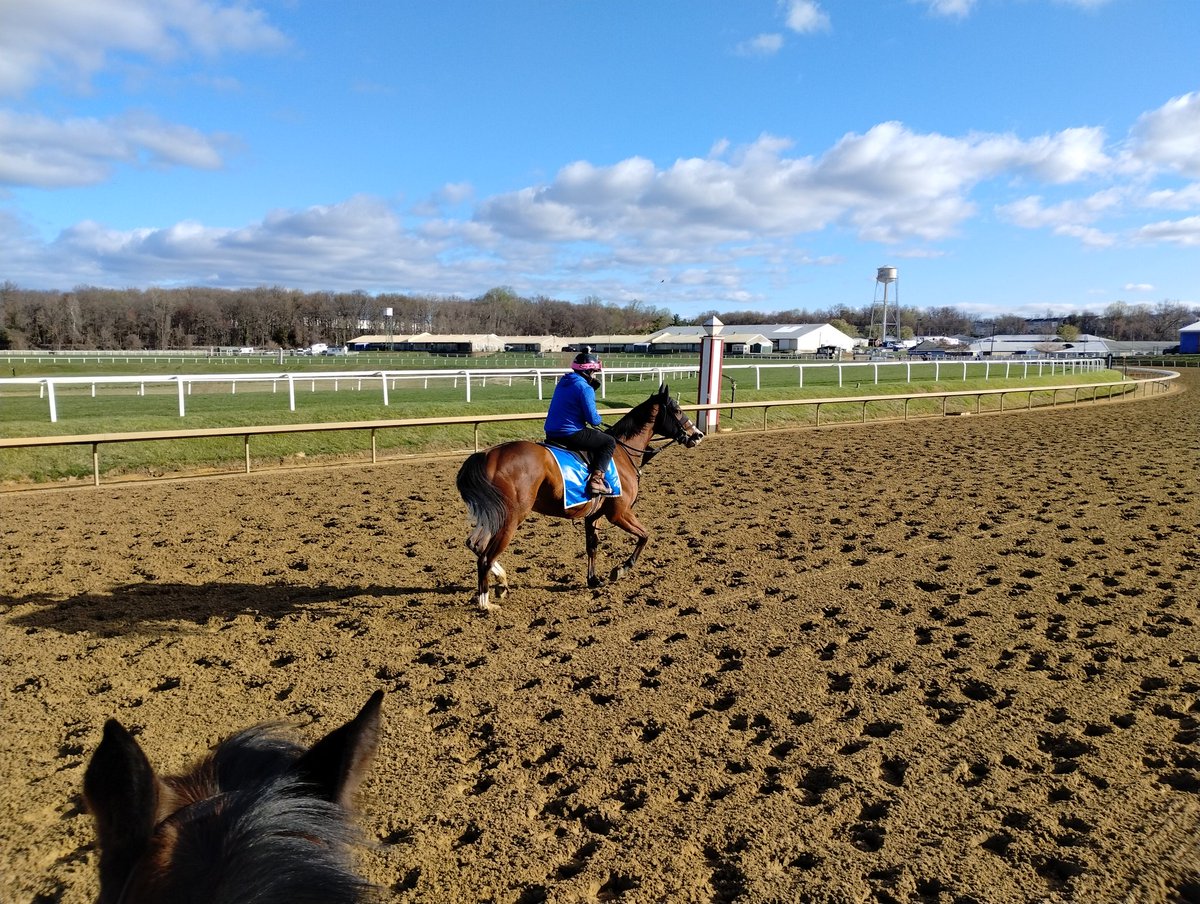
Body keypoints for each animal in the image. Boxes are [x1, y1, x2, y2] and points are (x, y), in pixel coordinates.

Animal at [456, 376, 700, 609]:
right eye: (677, 410)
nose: (697, 435)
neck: (623, 452)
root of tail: (487, 455)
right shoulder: (619, 513)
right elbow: (645, 535)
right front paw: (621, 569)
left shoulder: (594, 516)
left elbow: (592, 546)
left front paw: (593, 579)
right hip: (511, 518)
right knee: (485, 556)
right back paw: (486, 602)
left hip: (494, 515)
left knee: (474, 544)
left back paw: (501, 583)